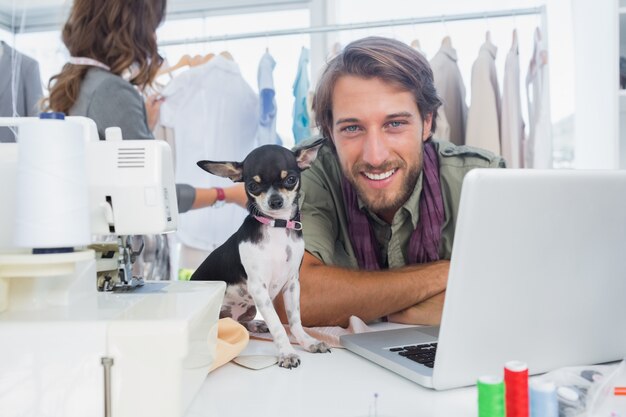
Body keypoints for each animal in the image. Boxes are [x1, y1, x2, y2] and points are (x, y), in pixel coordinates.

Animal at [190, 140, 330, 368]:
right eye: (252, 186)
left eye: (291, 180)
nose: (275, 201)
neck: (277, 227)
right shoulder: (259, 288)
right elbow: (278, 324)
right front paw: (287, 353)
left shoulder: (292, 284)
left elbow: (294, 320)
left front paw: (307, 342)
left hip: (248, 309)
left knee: (239, 324)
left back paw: (255, 325)